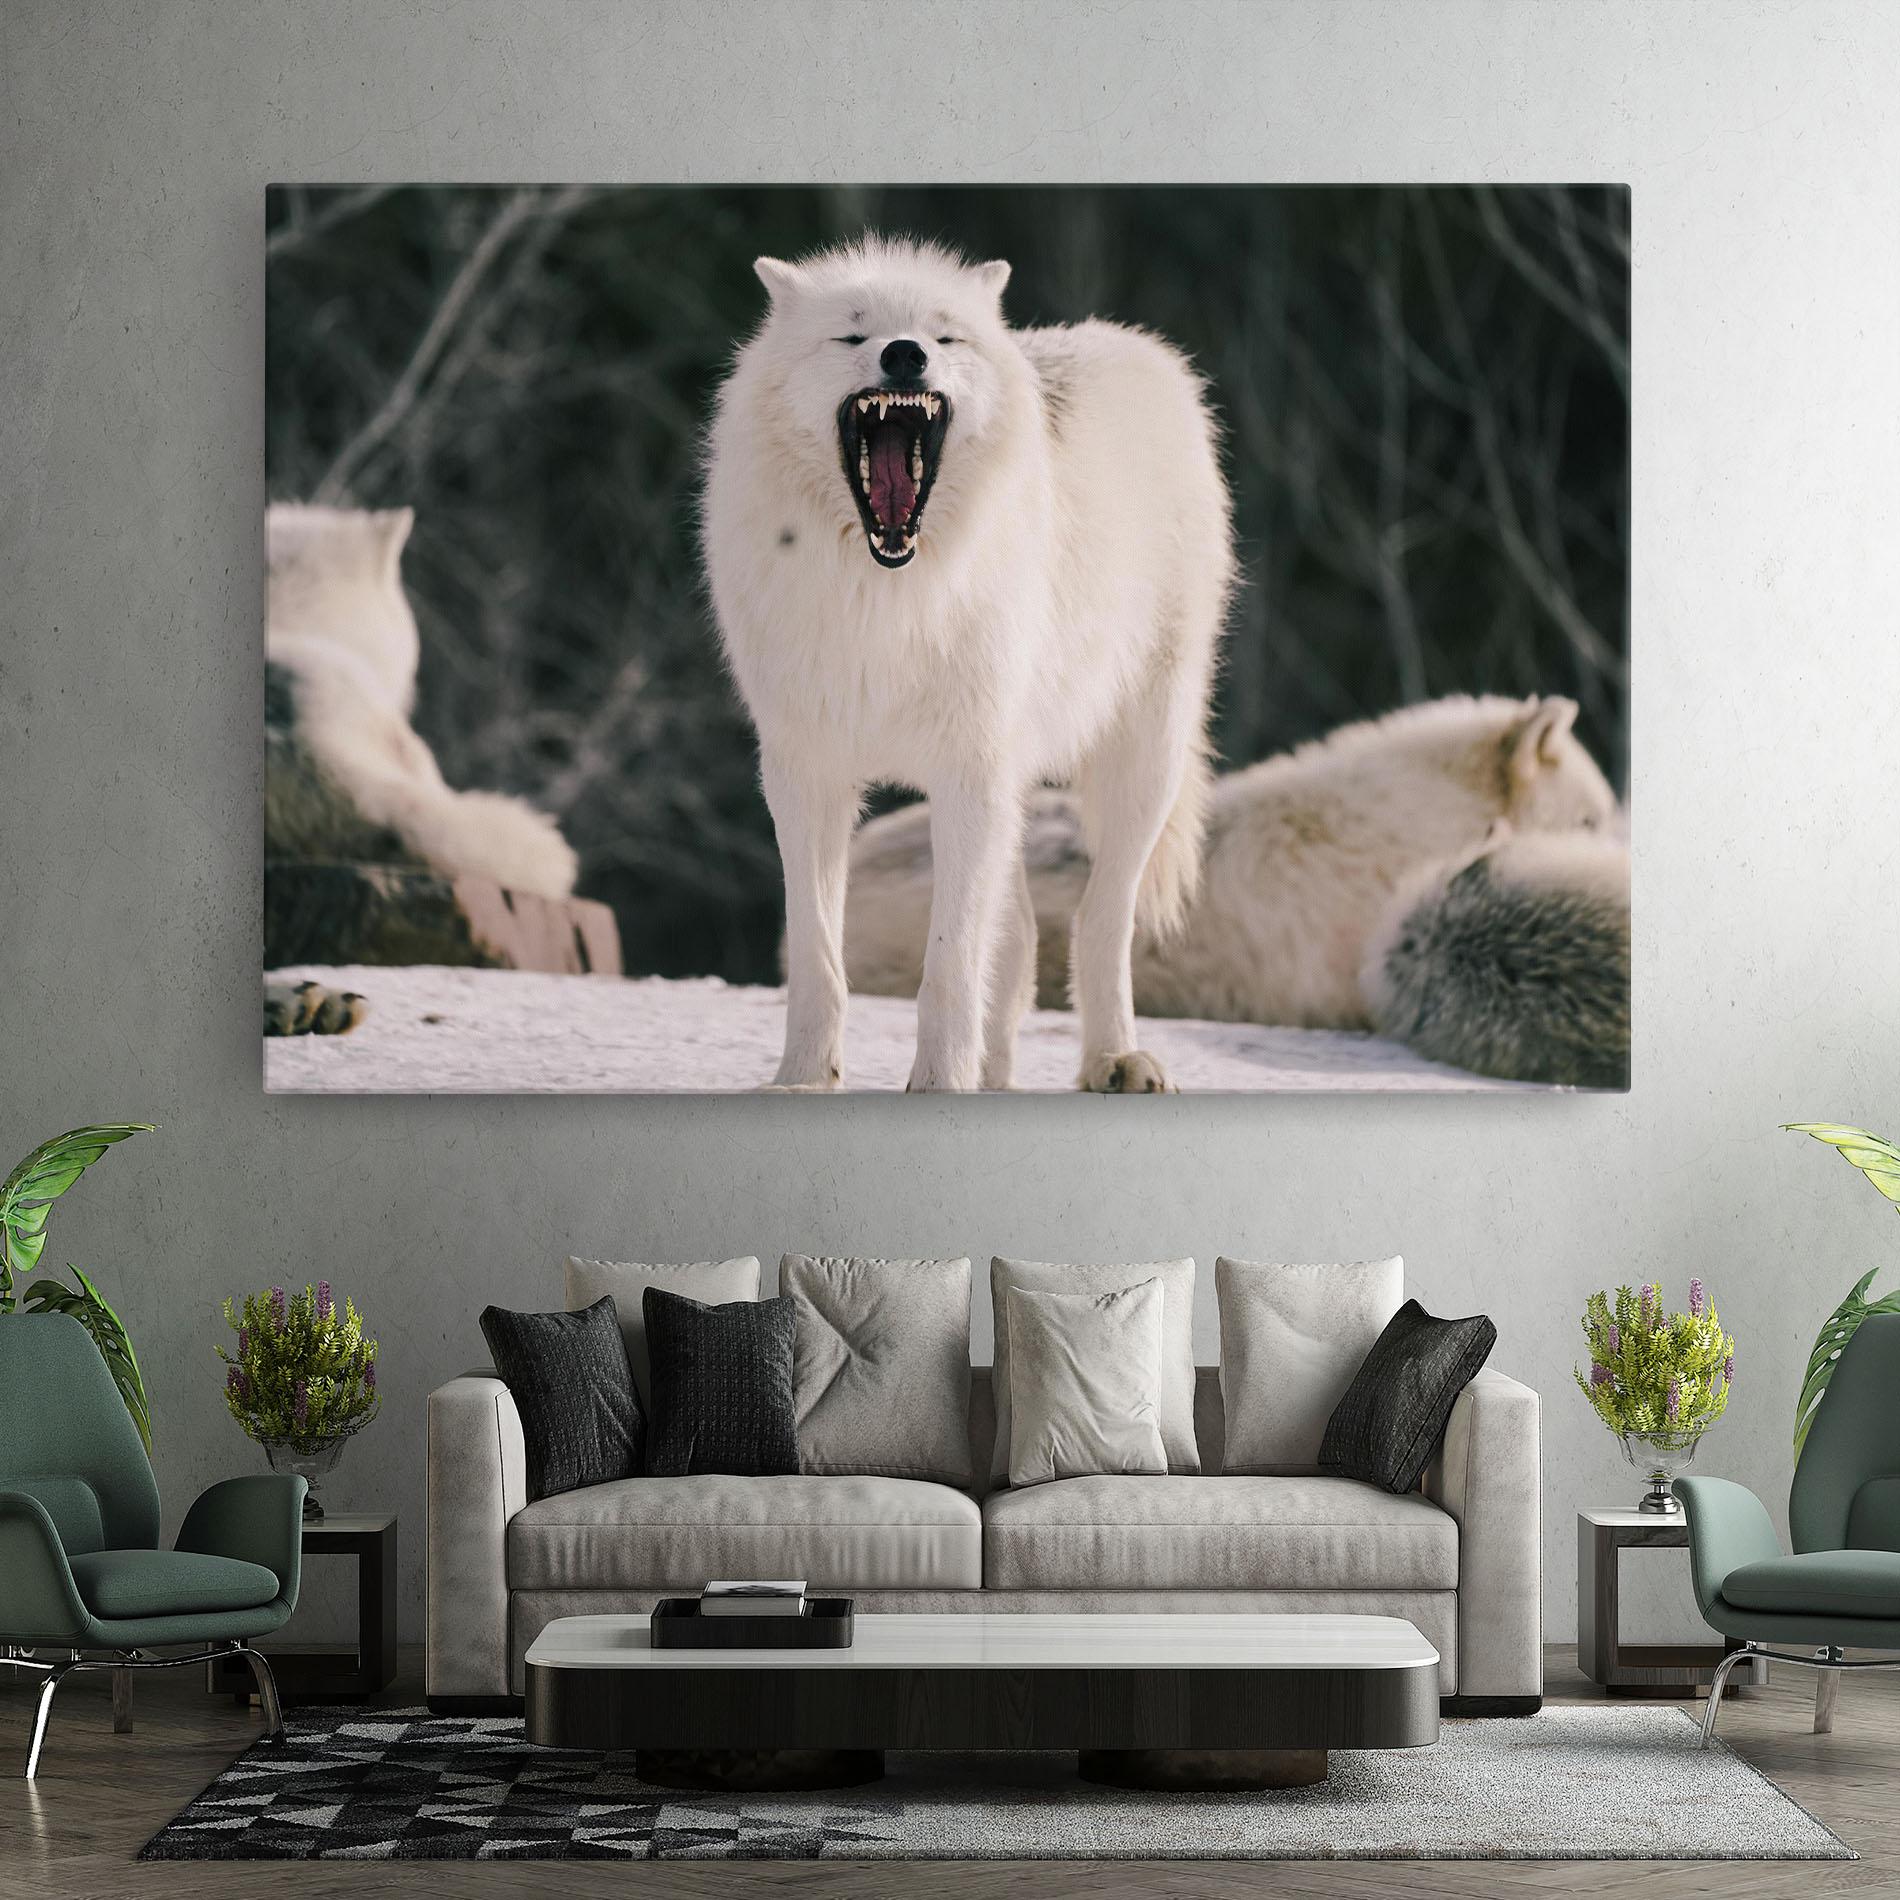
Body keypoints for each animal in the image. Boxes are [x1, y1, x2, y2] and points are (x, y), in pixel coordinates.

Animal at [703, 236, 1233, 1092]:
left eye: (943, 336)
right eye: (853, 335)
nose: (905, 354)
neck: (886, 597)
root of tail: (1136, 346)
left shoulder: (967, 773)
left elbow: (949, 965)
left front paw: (937, 1083)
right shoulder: (805, 774)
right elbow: (818, 955)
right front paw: (804, 1079)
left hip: (1141, 761)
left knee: (1099, 918)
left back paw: (1115, 1058)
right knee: (1017, 941)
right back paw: (999, 1075)